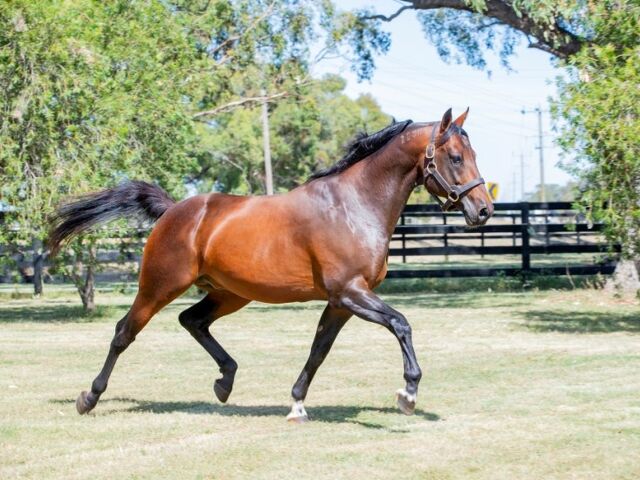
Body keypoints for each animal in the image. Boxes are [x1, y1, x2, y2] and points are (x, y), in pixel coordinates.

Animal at [48, 108, 493, 422]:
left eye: (473, 154)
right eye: (456, 157)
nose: (484, 209)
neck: (354, 206)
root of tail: (175, 210)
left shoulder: (341, 302)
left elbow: (318, 350)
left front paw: (296, 405)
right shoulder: (352, 292)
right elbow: (401, 324)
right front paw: (408, 394)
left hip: (229, 294)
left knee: (192, 321)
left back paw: (225, 382)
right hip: (159, 286)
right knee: (125, 332)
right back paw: (89, 396)